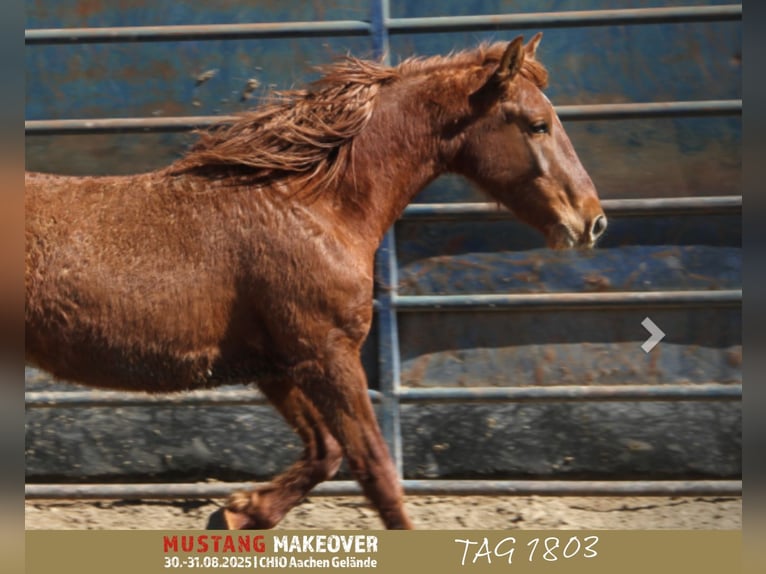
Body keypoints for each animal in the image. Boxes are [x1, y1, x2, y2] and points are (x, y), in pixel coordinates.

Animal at [25, 35, 608, 532]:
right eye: (537, 124)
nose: (592, 221)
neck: (312, 207)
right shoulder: (328, 355)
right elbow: (375, 469)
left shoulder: (279, 365)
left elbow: (326, 451)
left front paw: (240, 511)